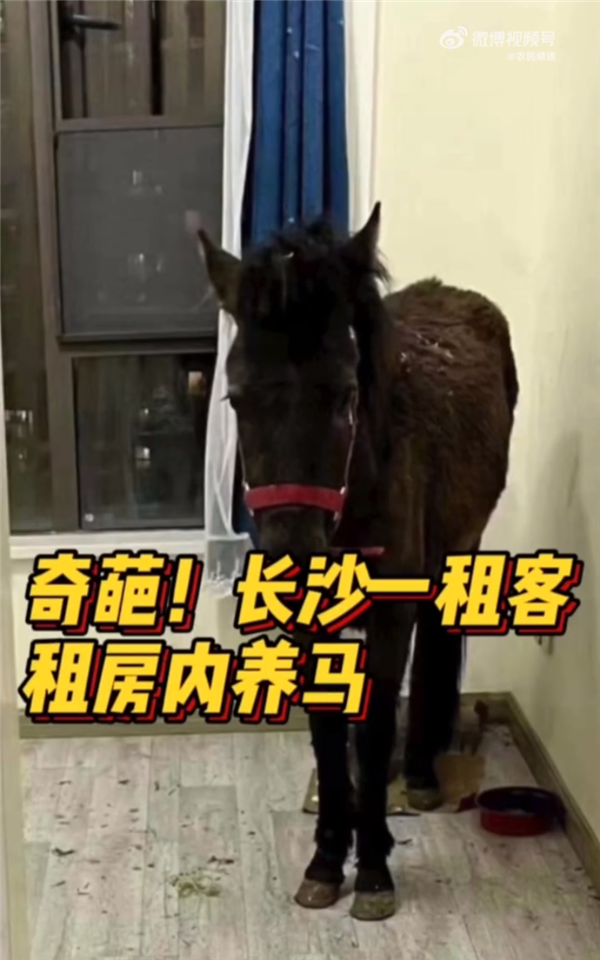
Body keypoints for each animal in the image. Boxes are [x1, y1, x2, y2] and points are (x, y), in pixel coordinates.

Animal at [195, 203, 518, 921]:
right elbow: (326, 733)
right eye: (236, 400)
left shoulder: (393, 615)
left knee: (436, 647)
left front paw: (371, 869)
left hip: (459, 549)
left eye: (345, 395)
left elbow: (369, 735)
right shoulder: (307, 626)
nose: (293, 559)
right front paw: (325, 859)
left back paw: (420, 774)